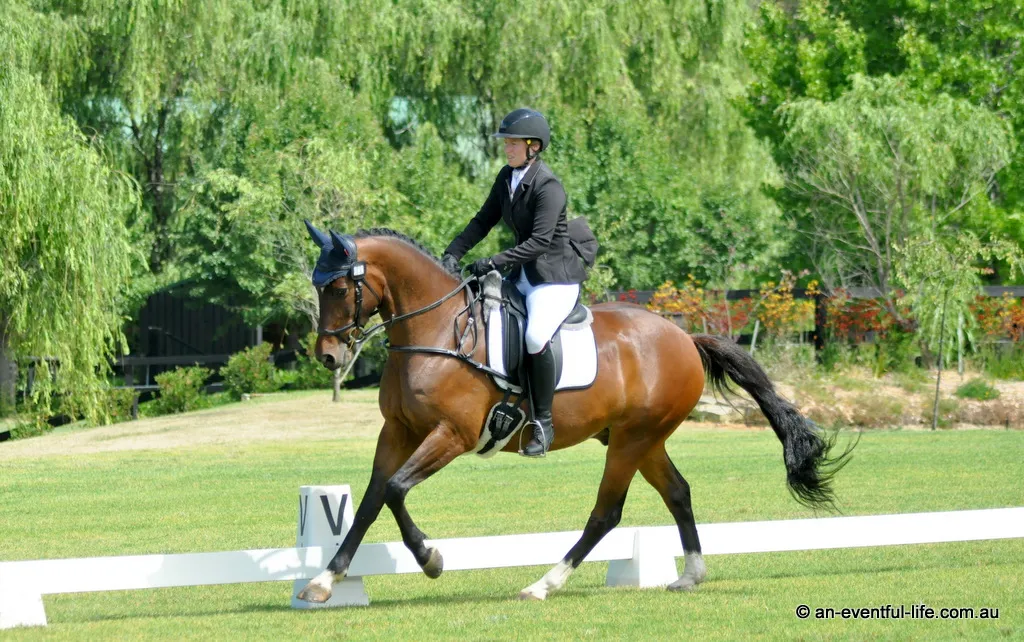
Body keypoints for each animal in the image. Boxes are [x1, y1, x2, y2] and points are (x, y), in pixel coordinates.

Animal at [296, 224, 852, 603]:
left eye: (339, 288)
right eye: (318, 286)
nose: (328, 358)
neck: (435, 332)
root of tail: (684, 337)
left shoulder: (451, 434)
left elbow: (394, 490)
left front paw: (431, 559)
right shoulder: (398, 431)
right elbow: (371, 500)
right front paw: (324, 580)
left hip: (632, 439)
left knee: (607, 513)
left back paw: (543, 584)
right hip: (640, 439)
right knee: (678, 493)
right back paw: (690, 574)